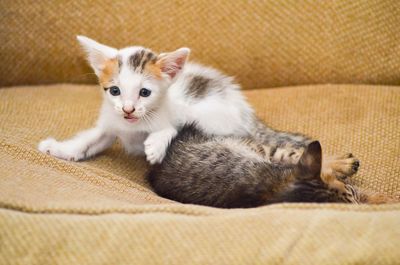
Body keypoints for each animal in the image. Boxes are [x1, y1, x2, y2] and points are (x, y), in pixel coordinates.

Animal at [39, 35, 255, 163]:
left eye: (144, 93)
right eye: (115, 91)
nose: (128, 109)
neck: (133, 127)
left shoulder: (180, 114)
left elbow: (173, 128)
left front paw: (156, 146)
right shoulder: (111, 124)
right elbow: (91, 140)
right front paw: (59, 149)